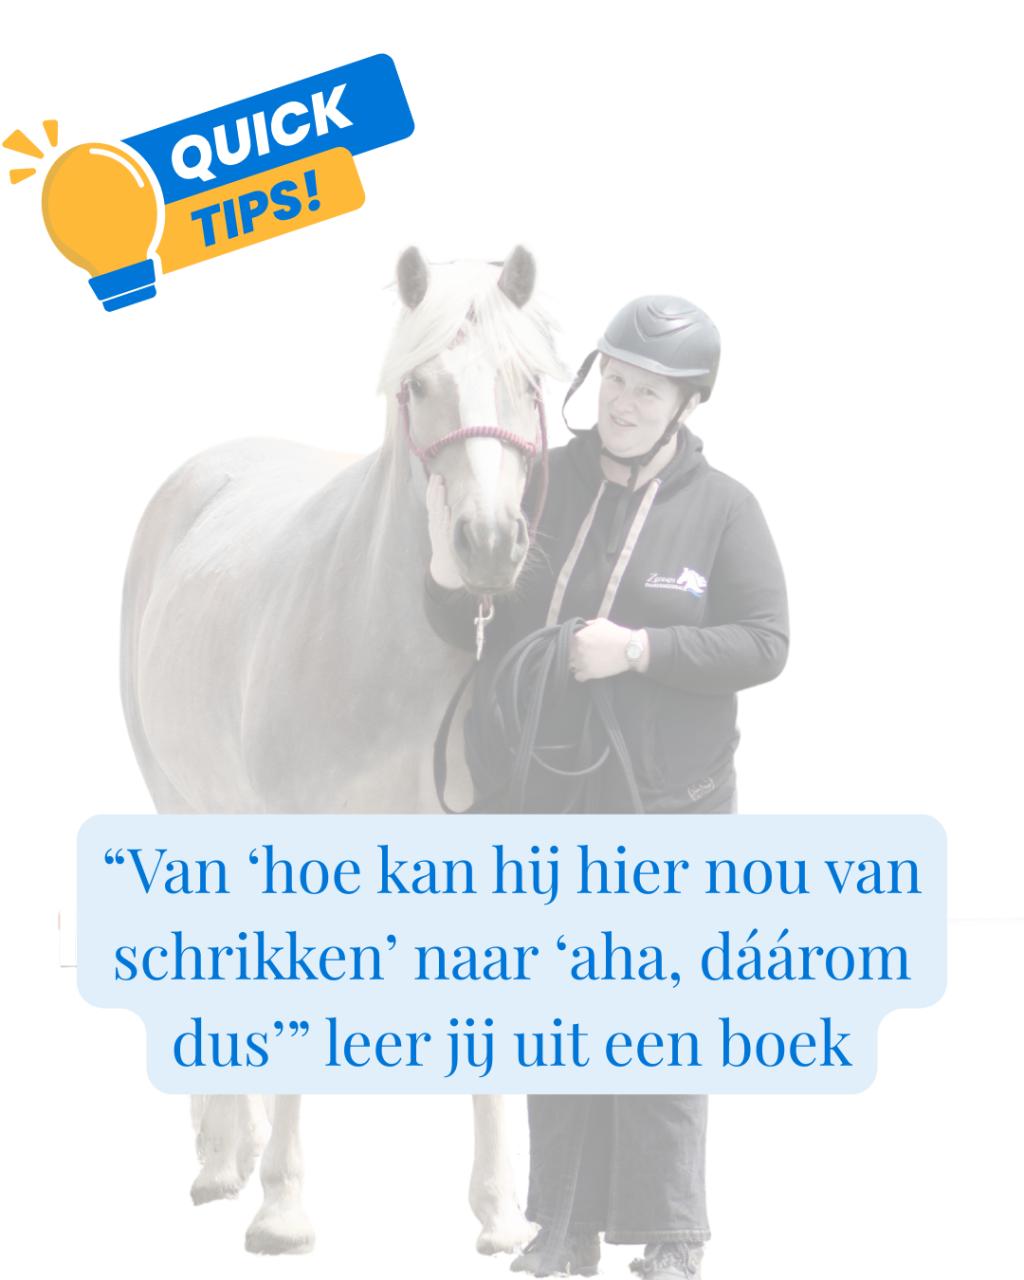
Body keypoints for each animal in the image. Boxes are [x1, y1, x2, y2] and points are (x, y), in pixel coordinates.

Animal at [119, 245, 566, 1254]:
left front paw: (500, 1212)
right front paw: (283, 1210)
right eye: (418, 385)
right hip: (184, 812)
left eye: (530, 384)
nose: (489, 545)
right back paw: (222, 1158)